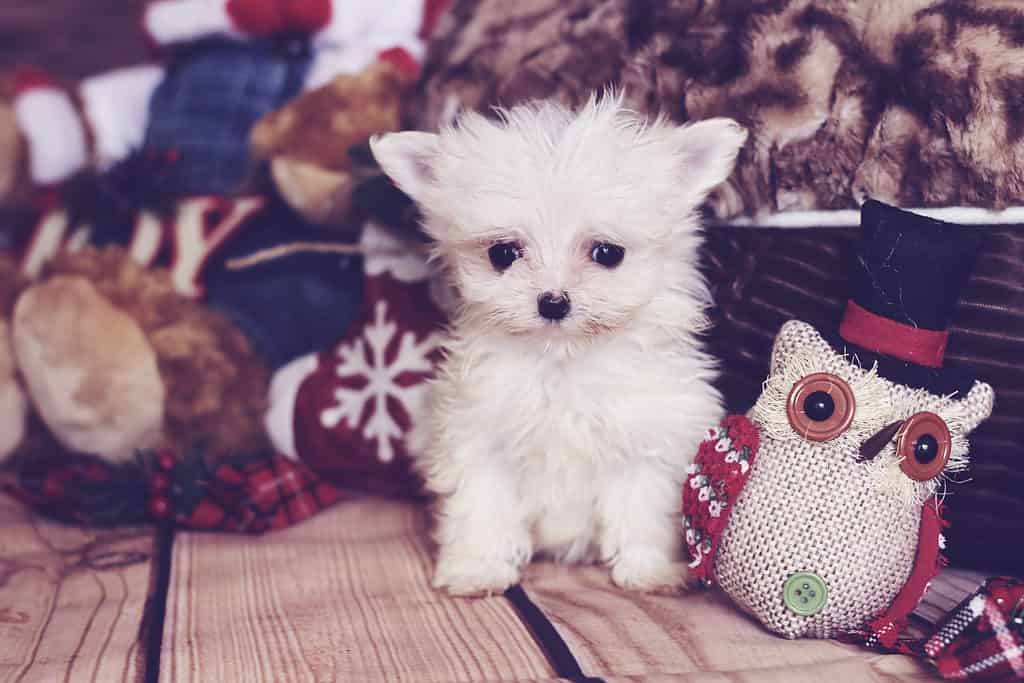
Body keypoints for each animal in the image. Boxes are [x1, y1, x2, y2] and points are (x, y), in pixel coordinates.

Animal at [368, 92, 745, 598]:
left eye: (608, 253)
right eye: (502, 254)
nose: (553, 302)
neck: (563, 360)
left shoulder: (648, 446)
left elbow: (643, 510)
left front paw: (650, 569)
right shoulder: (478, 439)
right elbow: (480, 508)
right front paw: (477, 568)